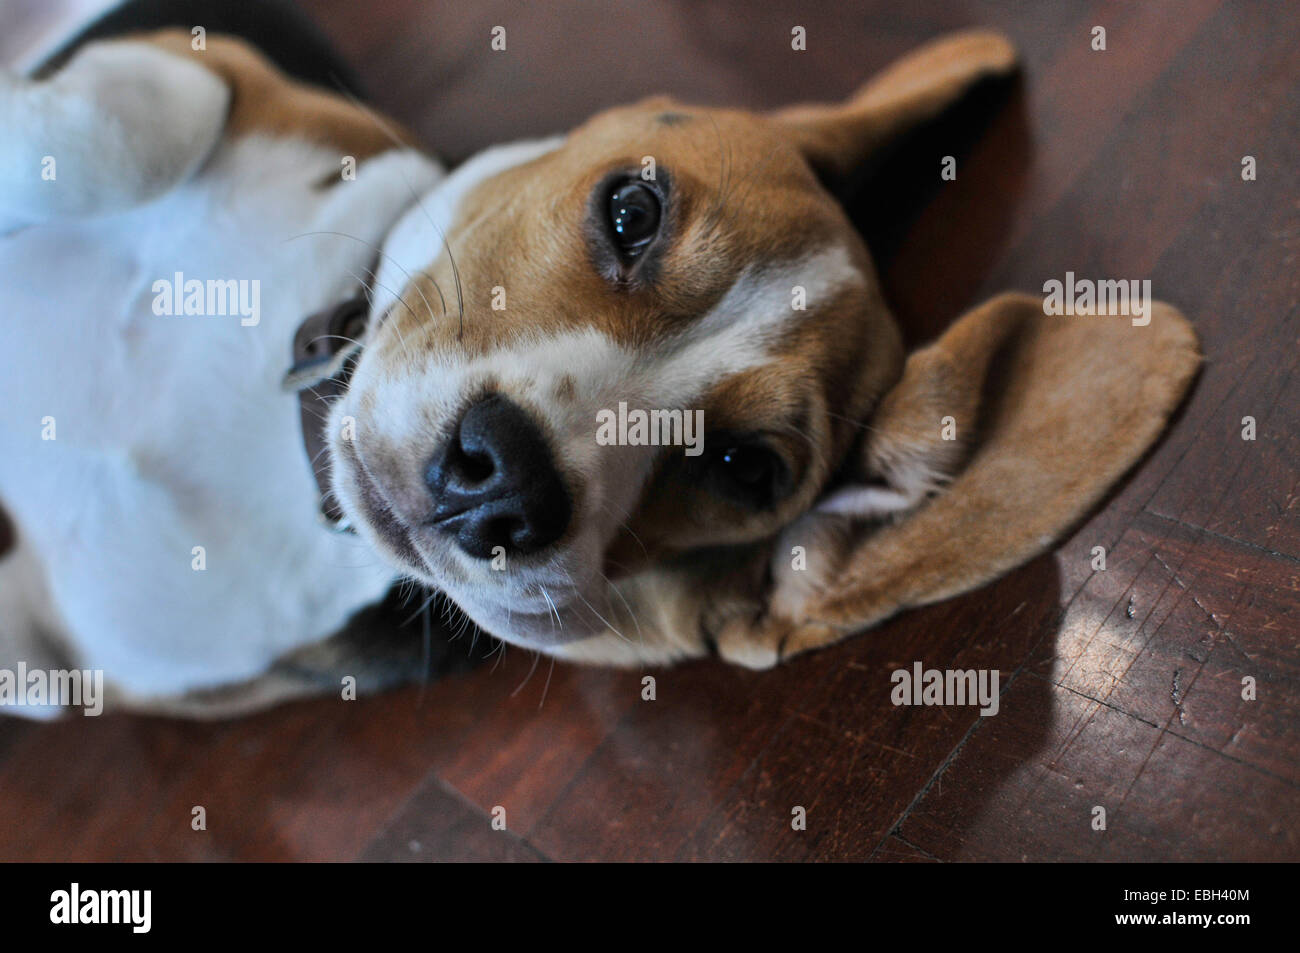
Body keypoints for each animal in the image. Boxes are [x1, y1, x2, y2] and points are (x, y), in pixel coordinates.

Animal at [0, 11, 1196, 717]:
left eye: (744, 469)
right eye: (632, 210)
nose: (499, 482)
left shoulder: (86, 671)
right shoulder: (215, 70)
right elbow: (118, 132)